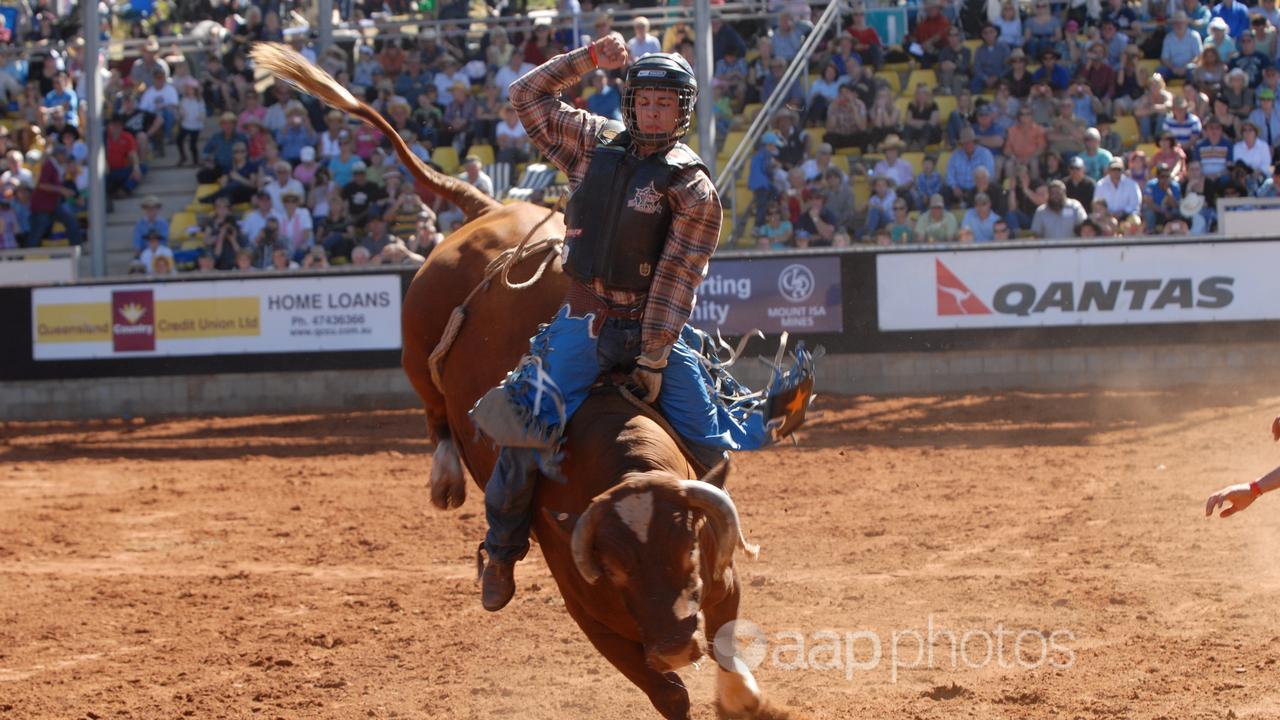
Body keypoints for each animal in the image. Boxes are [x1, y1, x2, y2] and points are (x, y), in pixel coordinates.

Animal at [249, 44, 798, 717]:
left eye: (687, 547)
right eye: (618, 567)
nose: (673, 644)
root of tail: (487, 212)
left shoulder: (719, 575)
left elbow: (724, 639)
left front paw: (744, 695)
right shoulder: (585, 604)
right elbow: (665, 692)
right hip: (415, 351)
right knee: (434, 408)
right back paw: (449, 487)